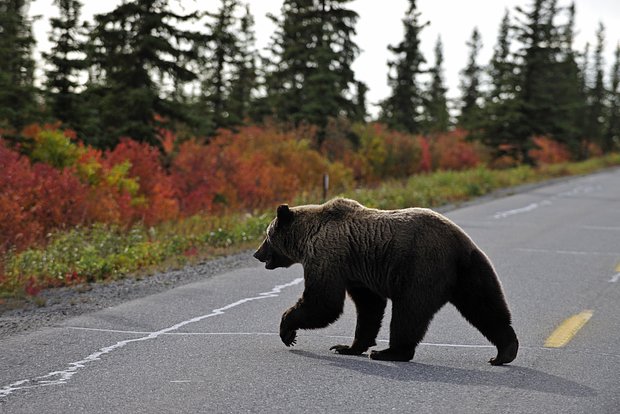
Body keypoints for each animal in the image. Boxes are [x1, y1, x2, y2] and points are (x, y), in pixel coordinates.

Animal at [252, 196, 520, 362]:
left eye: (267, 235)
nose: (257, 253)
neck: (307, 236)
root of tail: (458, 243)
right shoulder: (356, 272)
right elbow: (369, 307)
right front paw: (347, 347)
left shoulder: (327, 256)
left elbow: (324, 302)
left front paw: (288, 331)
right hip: (471, 271)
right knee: (485, 306)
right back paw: (504, 351)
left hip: (421, 268)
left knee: (408, 312)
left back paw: (390, 352)